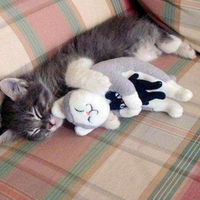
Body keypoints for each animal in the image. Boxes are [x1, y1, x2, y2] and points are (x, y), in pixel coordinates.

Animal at [0, 15, 196, 142]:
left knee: (160, 36)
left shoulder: (72, 58)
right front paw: (110, 120)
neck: (49, 80)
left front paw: (101, 82)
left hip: (137, 31)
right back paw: (184, 49)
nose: (50, 125)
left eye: (37, 112)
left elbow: (72, 74)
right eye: (34, 131)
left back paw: (179, 45)